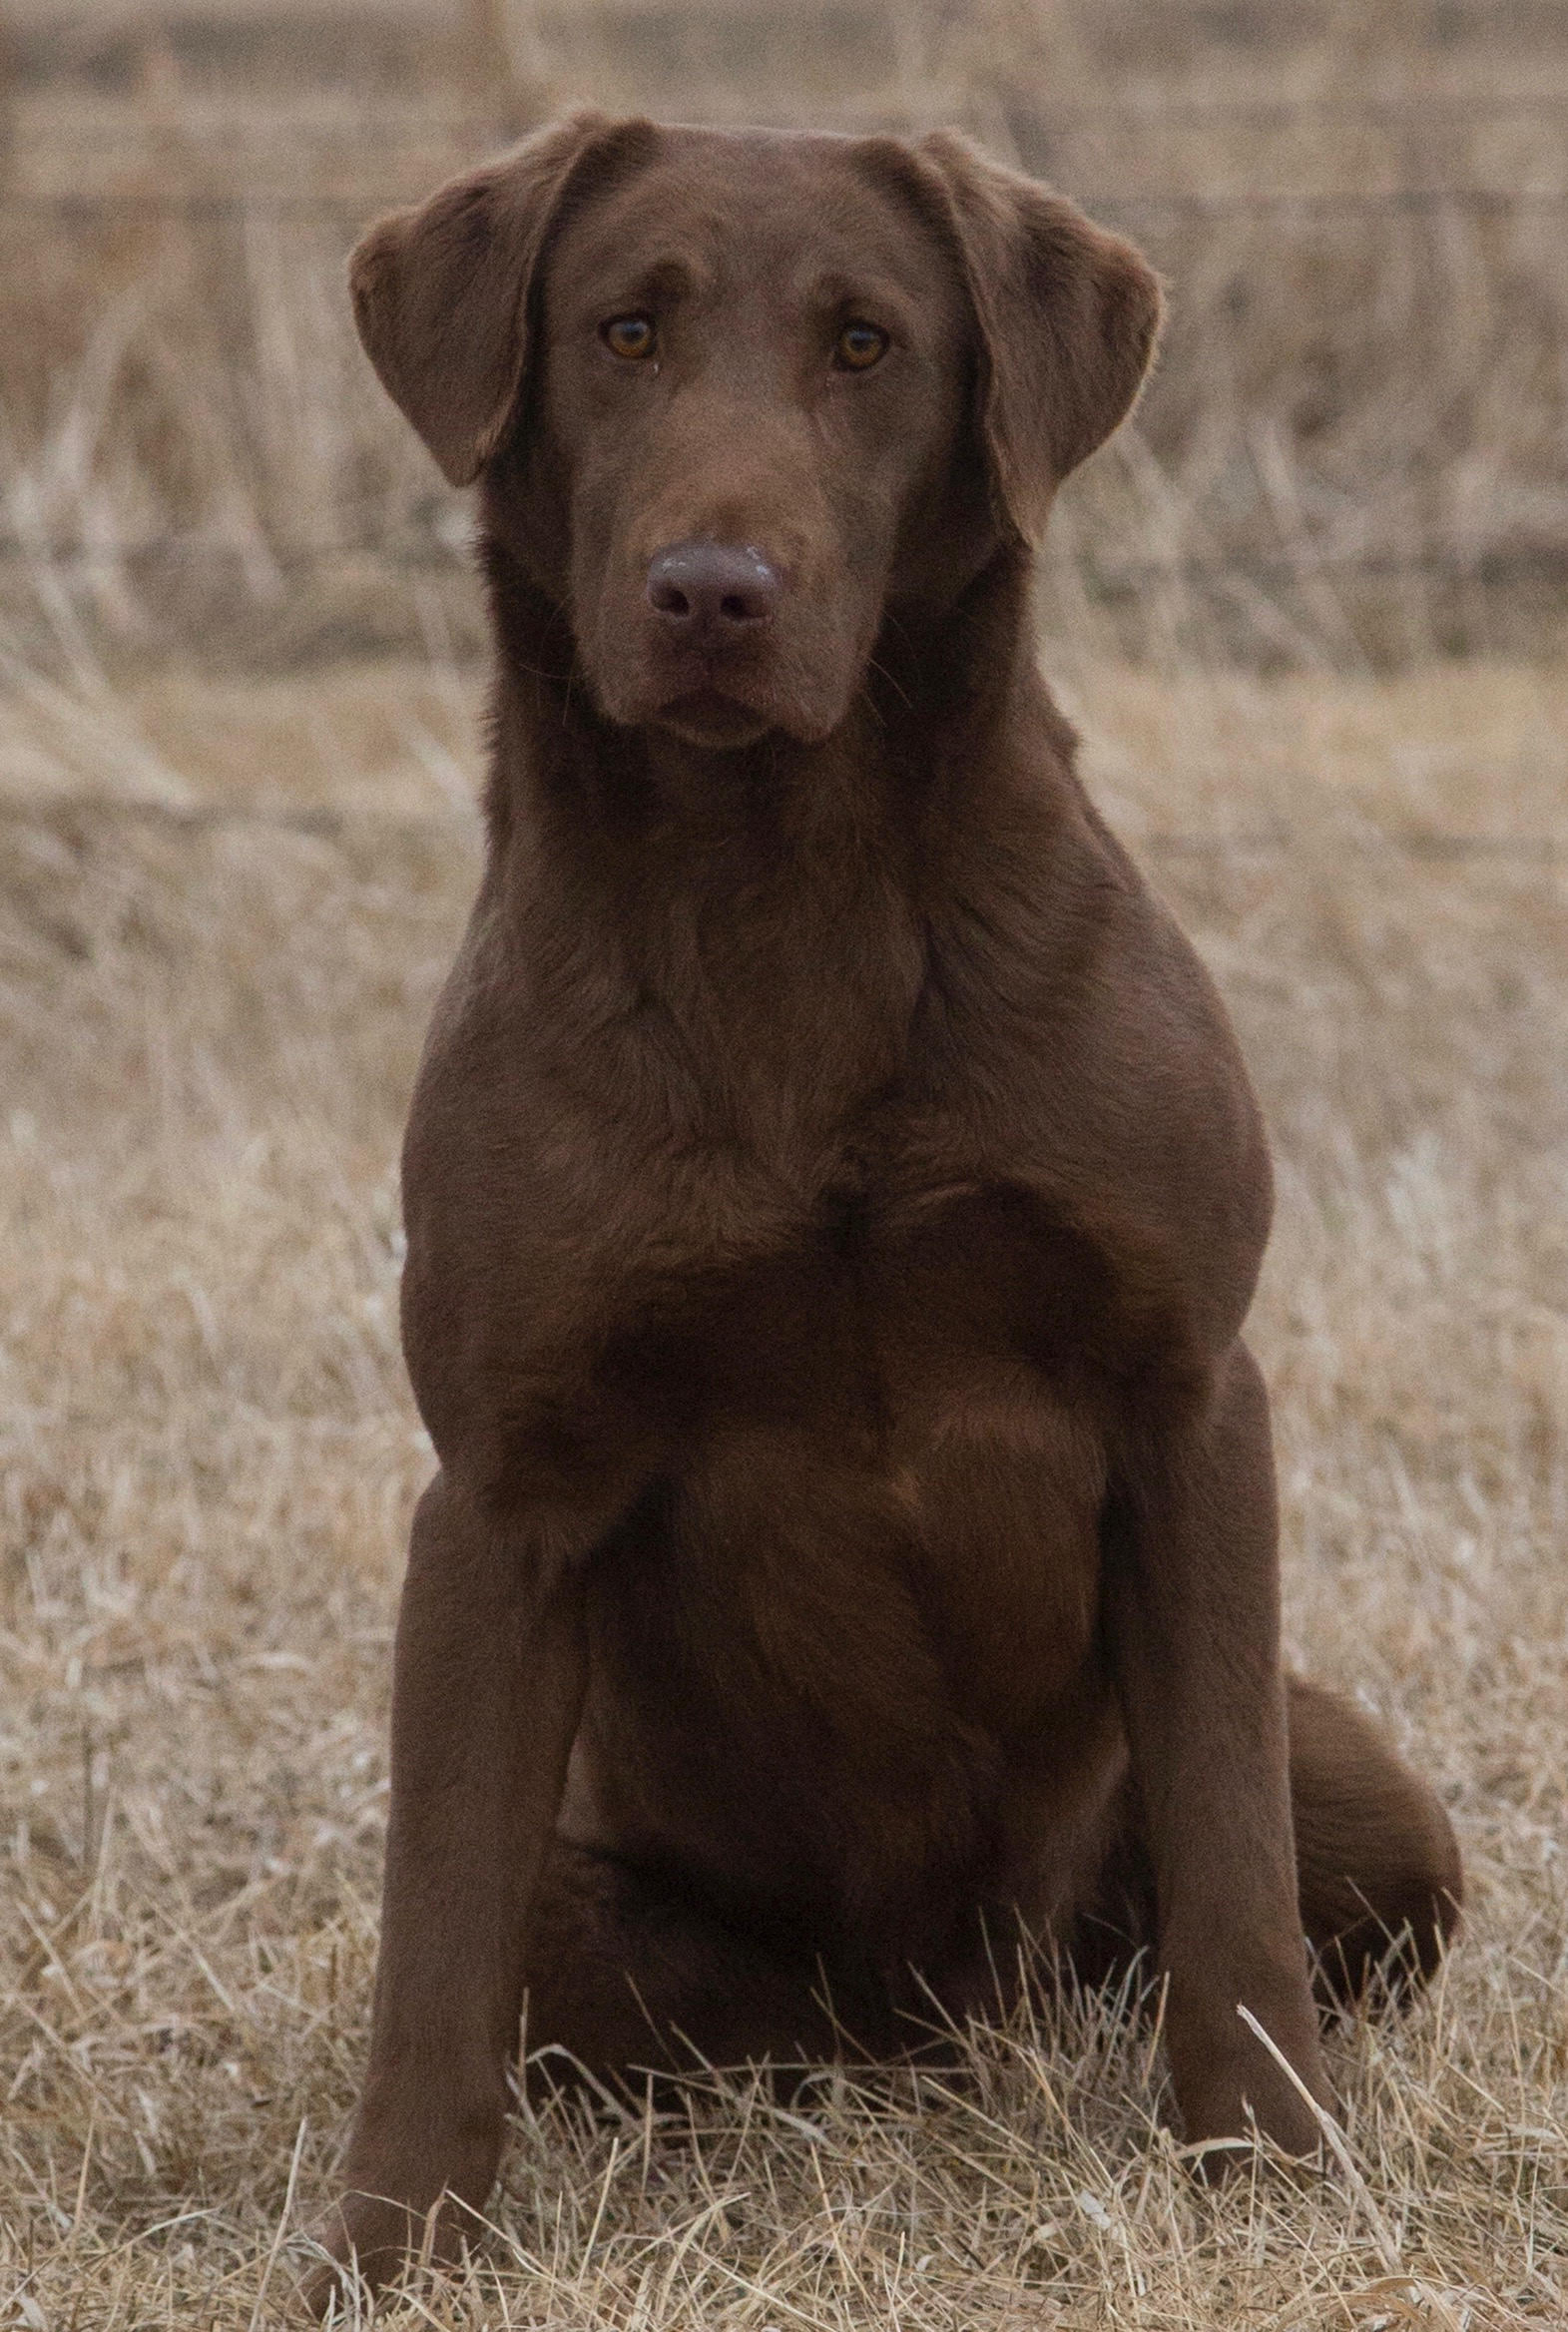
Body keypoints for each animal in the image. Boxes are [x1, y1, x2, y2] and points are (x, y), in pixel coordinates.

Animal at [302, 109, 1453, 2294]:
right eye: (623, 330)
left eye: (865, 345)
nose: (710, 591)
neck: (789, 899)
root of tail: (942, 2016)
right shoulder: (496, 1494)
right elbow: (430, 1961)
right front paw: (386, 2253)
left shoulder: (1190, 1399)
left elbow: (1231, 1878)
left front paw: (1270, 2171)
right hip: (615, 1904)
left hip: (1369, 1792)